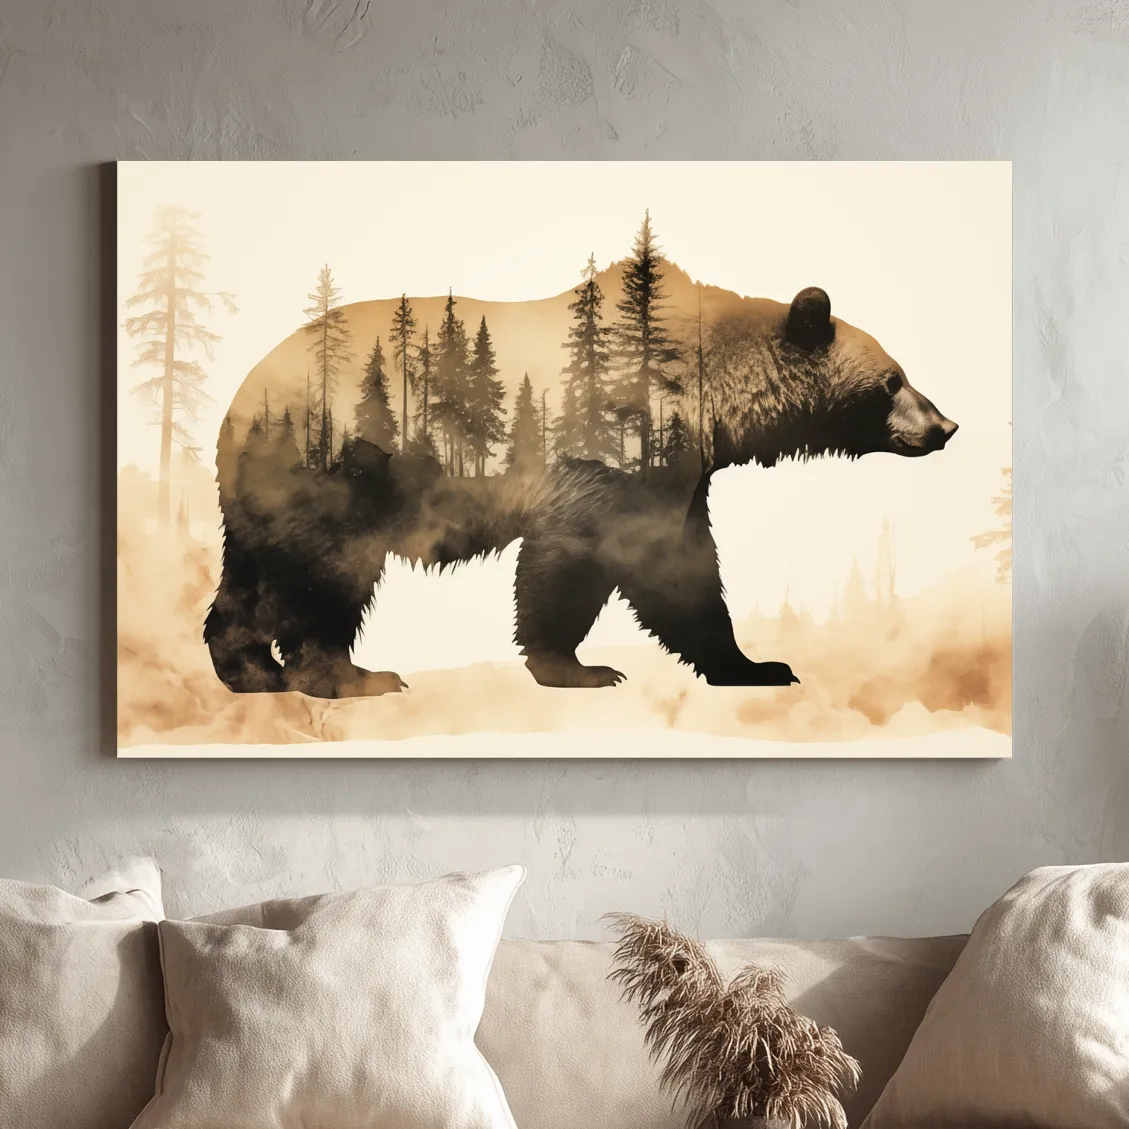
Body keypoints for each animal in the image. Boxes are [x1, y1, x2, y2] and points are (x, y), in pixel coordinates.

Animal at [203, 287, 957, 699]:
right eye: (892, 380)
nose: (945, 426)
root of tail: (238, 396)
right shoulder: (610, 449)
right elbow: (574, 555)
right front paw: (578, 667)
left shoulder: (679, 472)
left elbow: (682, 568)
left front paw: (754, 664)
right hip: (338, 468)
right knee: (325, 574)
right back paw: (346, 675)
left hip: (265, 488)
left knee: (249, 576)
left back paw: (249, 668)